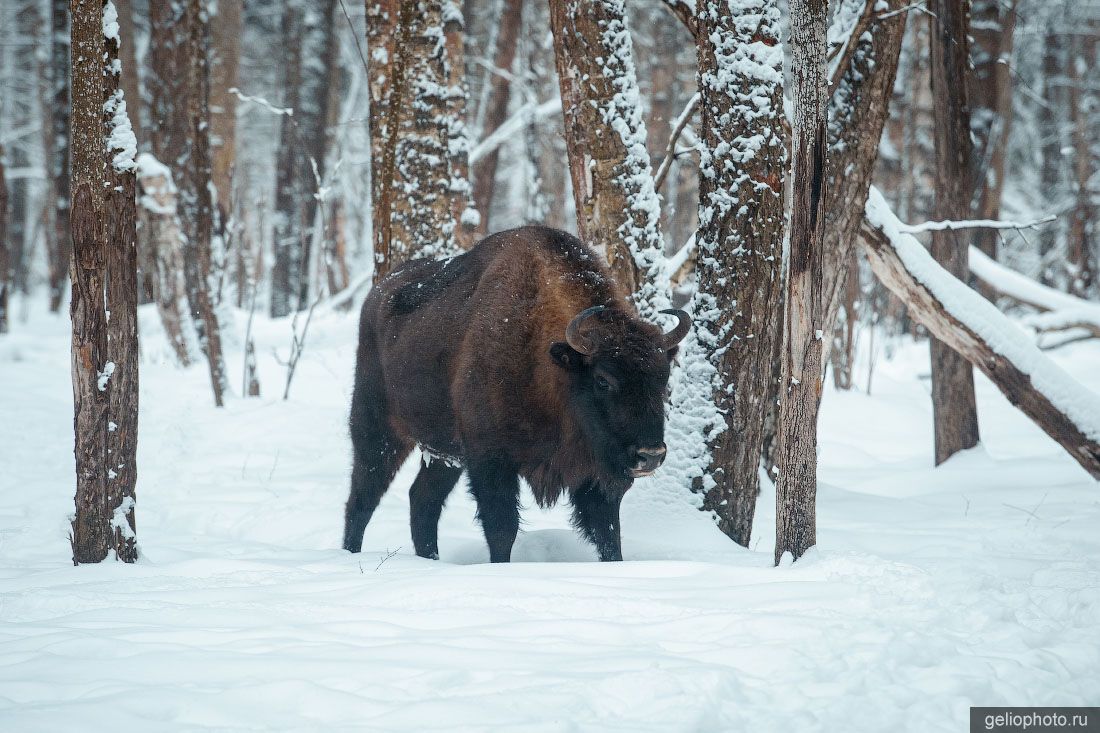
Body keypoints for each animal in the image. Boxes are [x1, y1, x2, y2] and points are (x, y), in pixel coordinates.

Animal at [343, 225, 686, 561]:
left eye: (663, 379)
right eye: (603, 380)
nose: (650, 455)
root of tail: (375, 296)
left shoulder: (596, 475)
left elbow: (608, 535)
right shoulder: (491, 461)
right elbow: (502, 529)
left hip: (445, 452)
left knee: (422, 498)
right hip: (378, 432)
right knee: (362, 497)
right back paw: (350, 554)